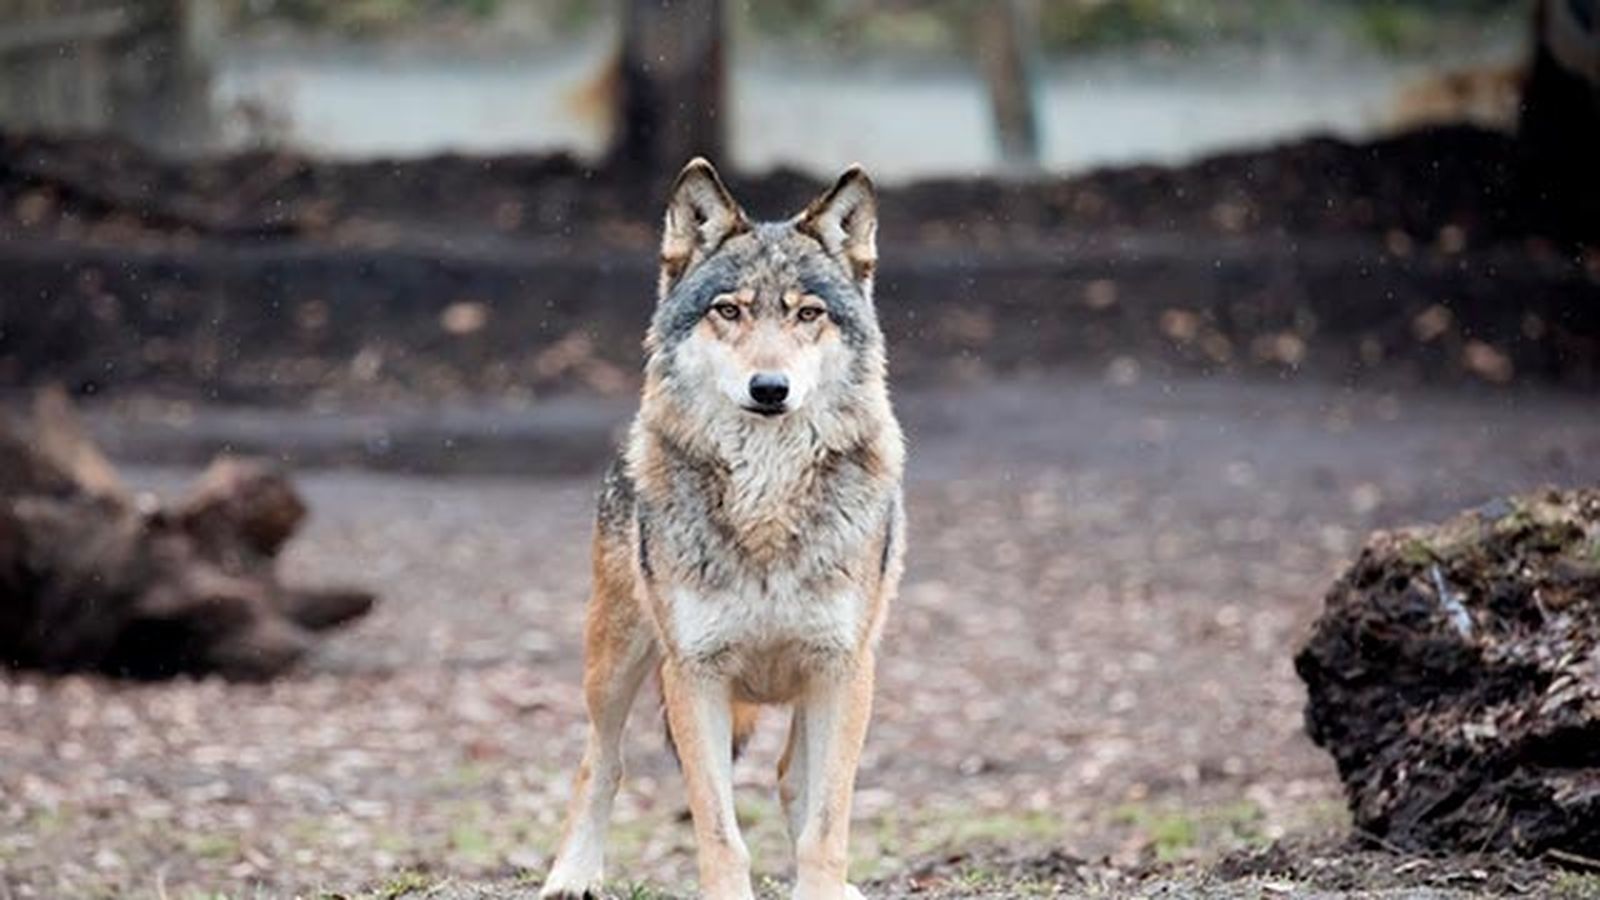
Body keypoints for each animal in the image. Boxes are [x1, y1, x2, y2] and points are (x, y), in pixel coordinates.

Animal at [540, 159, 905, 900]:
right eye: (729, 310)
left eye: (807, 313)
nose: (770, 388)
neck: (765, 502)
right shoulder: (695, 674)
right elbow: (719, 832)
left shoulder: (843, 668)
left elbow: (827, 826)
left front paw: (825, 887)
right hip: (615, 663)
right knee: (601, 761)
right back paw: (572, 874)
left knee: (792, 778)